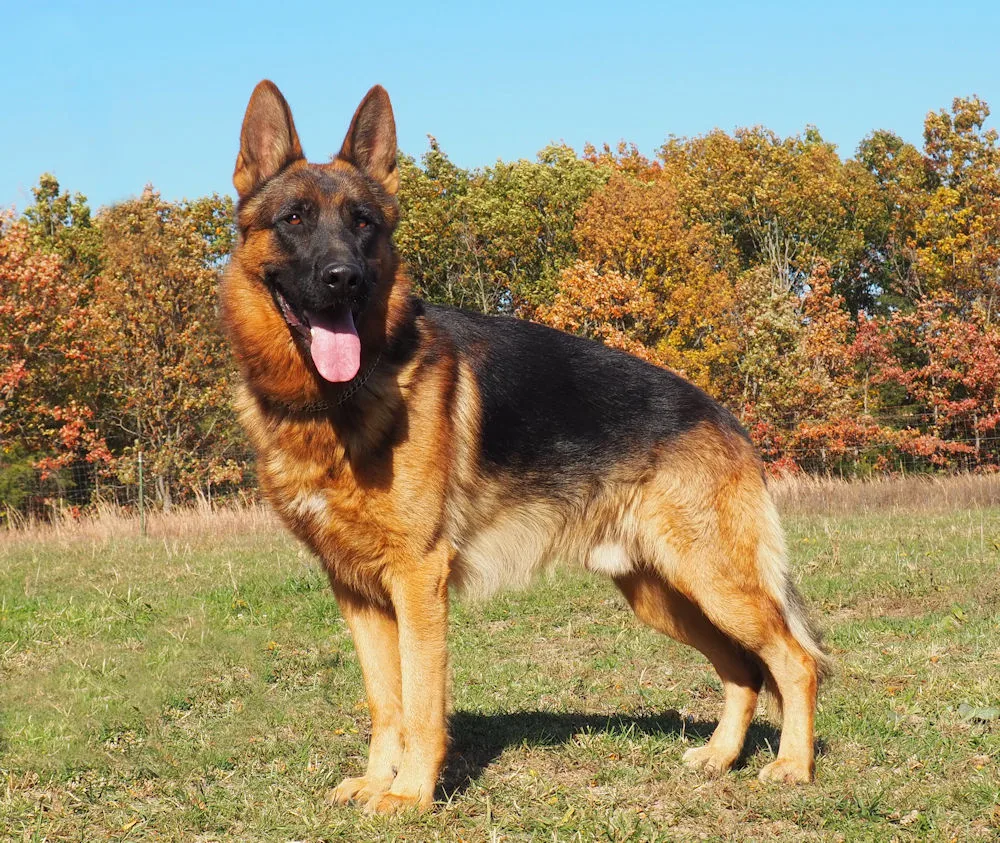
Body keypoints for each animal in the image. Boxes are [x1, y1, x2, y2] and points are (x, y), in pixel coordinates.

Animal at [223, 82, 832, 816]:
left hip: (715, 583)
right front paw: (376, 781)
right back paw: (720, 755)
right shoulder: (356, 591)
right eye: (294, 218)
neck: (333, 402)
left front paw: (411, 794)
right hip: (664, 594)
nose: (344, 279)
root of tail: (728, 419)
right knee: (742, 668)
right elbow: (384, 700)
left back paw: (793, 766)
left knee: (795, 661)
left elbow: (420, 700)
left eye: (364, 224)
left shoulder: (418, 582)